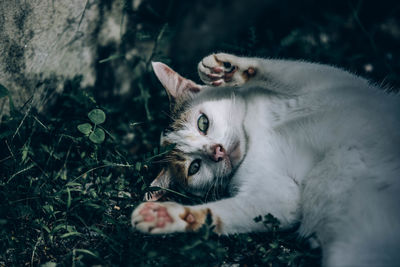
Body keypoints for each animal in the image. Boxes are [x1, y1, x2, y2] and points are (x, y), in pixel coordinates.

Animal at [131, 53, 400, 266]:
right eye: (194, 167)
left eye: (203, 123)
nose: (217, 152)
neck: (255, 135)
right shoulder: (278, 195)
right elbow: (250, 208)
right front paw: (170, 216)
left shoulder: (331, 83)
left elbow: (286, 68)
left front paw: (229, 69)